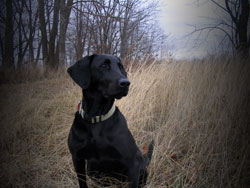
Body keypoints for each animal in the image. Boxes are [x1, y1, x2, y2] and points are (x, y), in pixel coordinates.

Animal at [68, 53, 154, 187]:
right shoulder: (77, 158)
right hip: (91, 169)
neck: (97, 117)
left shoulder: (132, 163)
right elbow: (82, 182)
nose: (126, 83)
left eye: (120, 67)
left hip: (140, 166)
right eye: (104, 65)